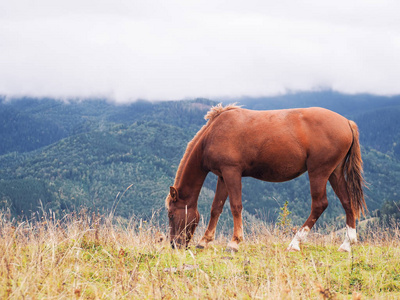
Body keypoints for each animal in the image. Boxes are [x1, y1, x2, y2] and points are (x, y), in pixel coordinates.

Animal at [165, 104, 366, 252]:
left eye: (171, 214)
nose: (174, 245)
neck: (212, 134)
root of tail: (347, 122)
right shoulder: (222, 176)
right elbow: (216, 208)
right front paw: (204, 241)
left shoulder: (231, 172)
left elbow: (235, 206)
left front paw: (234, 242)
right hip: (334, 173)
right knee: (347, 202)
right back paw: (346, 245)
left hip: (319, 172)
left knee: (319, 205)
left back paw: (295, 243)